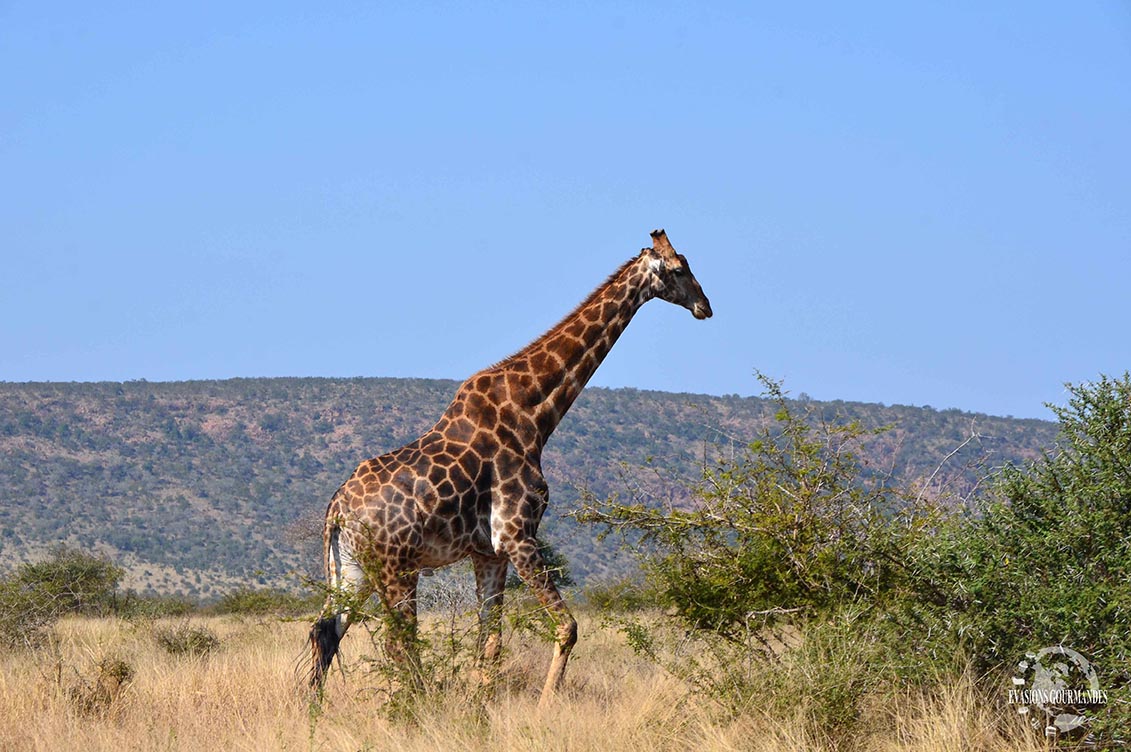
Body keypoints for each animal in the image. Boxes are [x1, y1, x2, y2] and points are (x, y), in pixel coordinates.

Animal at [307, 227, 714, 705]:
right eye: (679, 269)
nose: (705, 306)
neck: (534, 415)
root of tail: (337, 509)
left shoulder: (489, 551)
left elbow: (491, 641)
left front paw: (480, 706)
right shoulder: (518, 535)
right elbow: (567, 627)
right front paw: (544, 707)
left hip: (354, 568)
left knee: (327, 631)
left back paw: (313, 710)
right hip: (396, 568)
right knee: (398, 642)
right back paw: (416, 707)